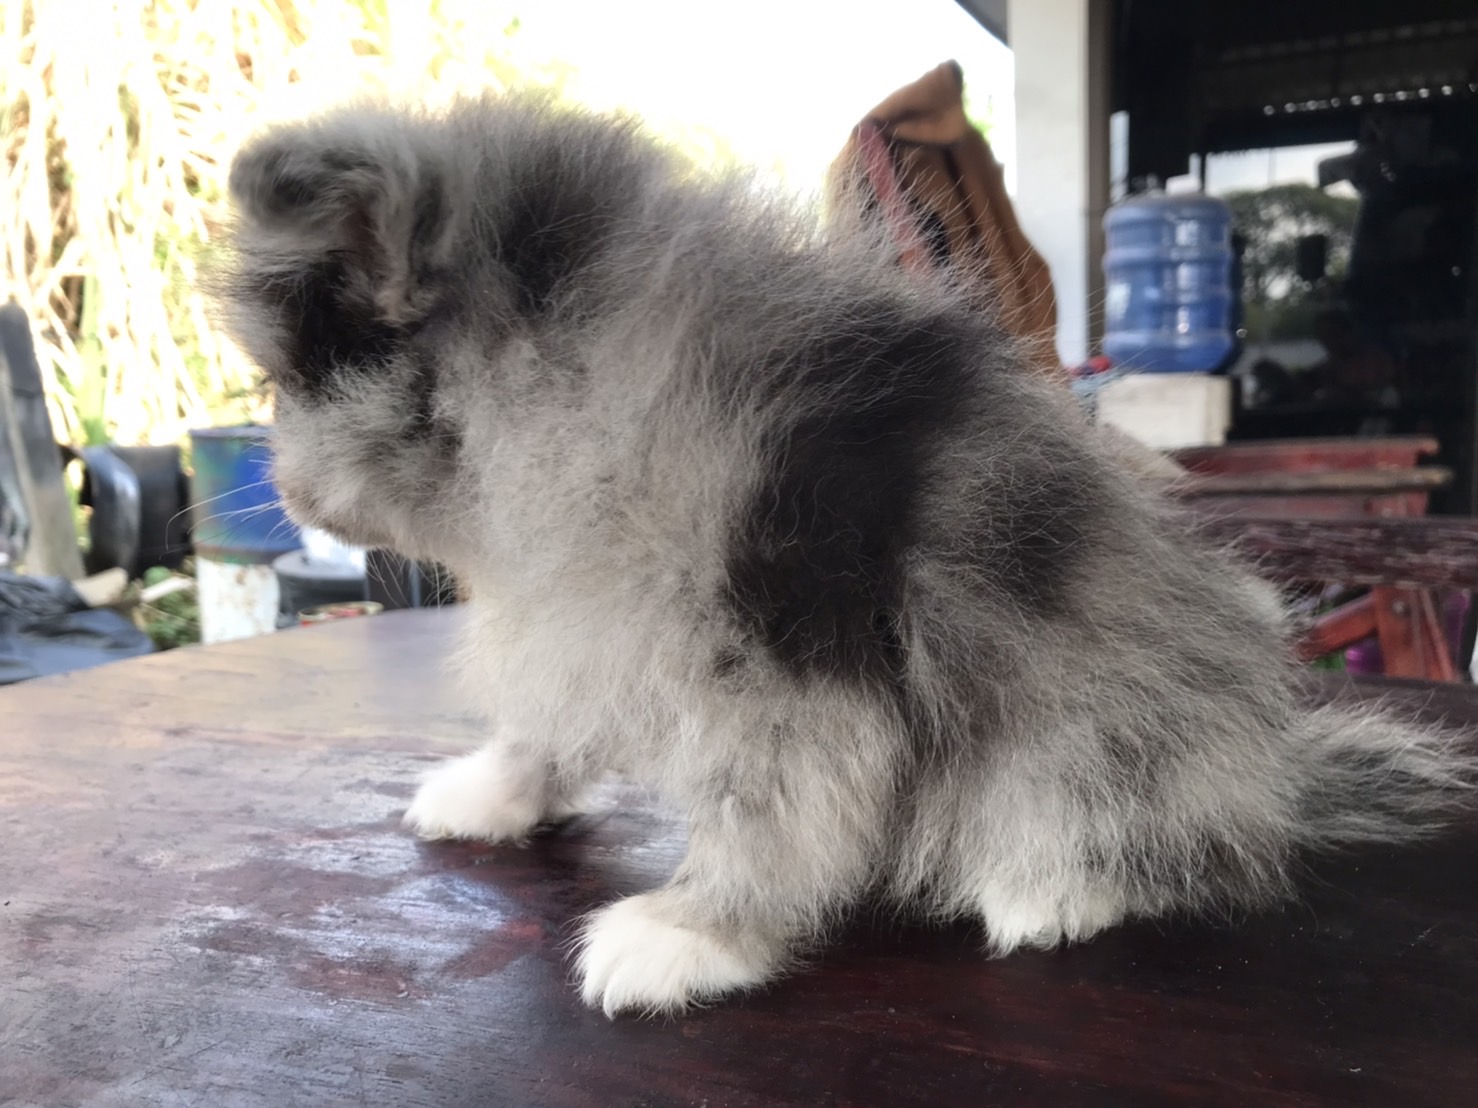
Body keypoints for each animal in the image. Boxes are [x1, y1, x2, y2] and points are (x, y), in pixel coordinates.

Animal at [218, 93, 1473, 1017]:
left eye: (292, 387)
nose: (280, 485)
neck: (577, 388)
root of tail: (1271, 769)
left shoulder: (790, 669)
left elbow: (765, 816)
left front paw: (688, 931)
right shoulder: (590, 620)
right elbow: (549, 719)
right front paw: (494, 788)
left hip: (1108, 720)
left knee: (1137, 820)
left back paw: (1048, 886)